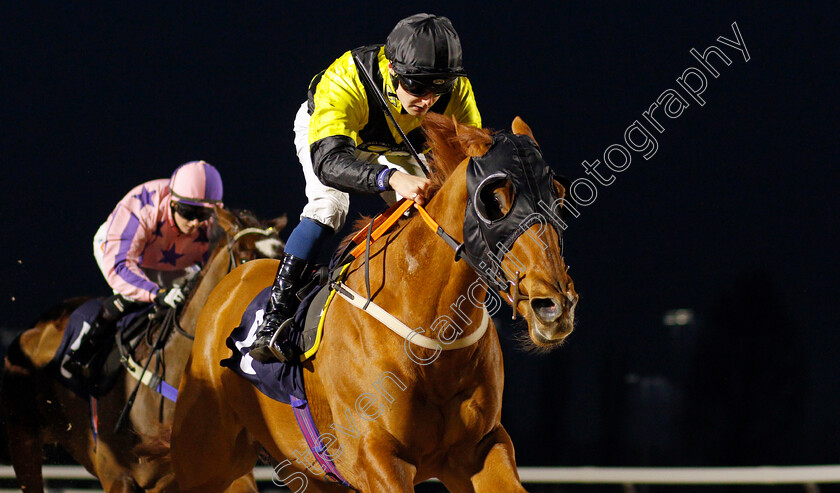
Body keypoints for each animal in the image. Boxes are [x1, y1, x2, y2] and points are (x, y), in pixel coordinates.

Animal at [171, 116, 576, 492]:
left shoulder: (481, 447)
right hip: (204, 459)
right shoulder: (375, 457)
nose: (553, 306)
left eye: (557, 193)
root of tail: (232, 282)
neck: (430, 334)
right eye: (493, 200)